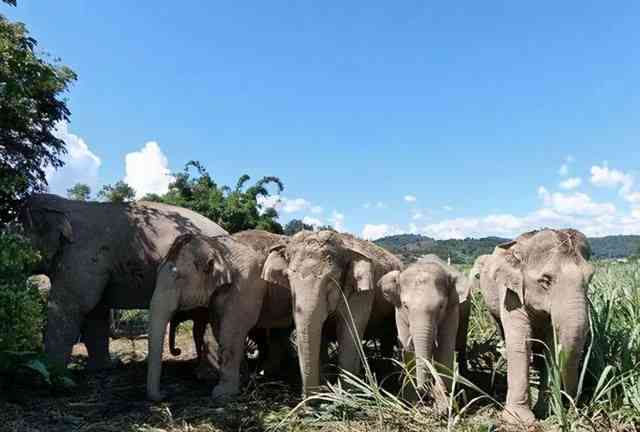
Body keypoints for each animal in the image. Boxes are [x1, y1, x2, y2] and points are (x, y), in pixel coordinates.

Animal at [146, 231, 292, 400]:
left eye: (178, 277)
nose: (164, 395)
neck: (217, 247)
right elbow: (219, 328)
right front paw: (243, 380)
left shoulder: (247, 285)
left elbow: (233, 330)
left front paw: (222, 393)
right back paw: (268, 372)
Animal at [260, 231, 400, 396]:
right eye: (288, 277)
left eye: (331, 279)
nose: (307, 401)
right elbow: (322, 335)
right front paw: (327, 389)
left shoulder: (363, 293)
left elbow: (349, 334)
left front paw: (347, 395)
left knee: (387, 339)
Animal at [378, 255, 472, 406]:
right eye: (405, 306)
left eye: (441, 306)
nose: (425, 393)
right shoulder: (398, 312)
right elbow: (407, 349)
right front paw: (411, 401)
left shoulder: (452, 309)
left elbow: (445, 348)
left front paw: (444, 404)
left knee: (460, 343)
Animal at [476, 228, 596, 424]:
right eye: (545, 280)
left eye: (590, 278)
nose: (574, 405)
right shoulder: (510, 292)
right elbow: (520, 341)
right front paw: (518, 419)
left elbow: (552, 345)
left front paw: (547, 410)